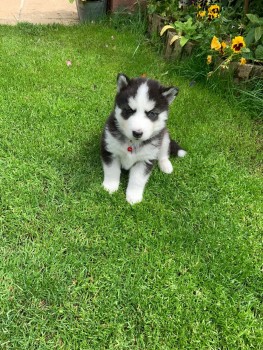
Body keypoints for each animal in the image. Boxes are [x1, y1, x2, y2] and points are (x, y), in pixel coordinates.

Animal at [100, 74, 187, 205]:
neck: (133, 143)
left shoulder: (146, 159)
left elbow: (137, 179)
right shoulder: (110, 150)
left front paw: (134, 196)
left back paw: (166, 165)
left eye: (151, 113)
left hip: (164, 136)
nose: (137, 133)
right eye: (129, 110)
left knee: (163, 153)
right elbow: (112, 171)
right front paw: (110, 187)